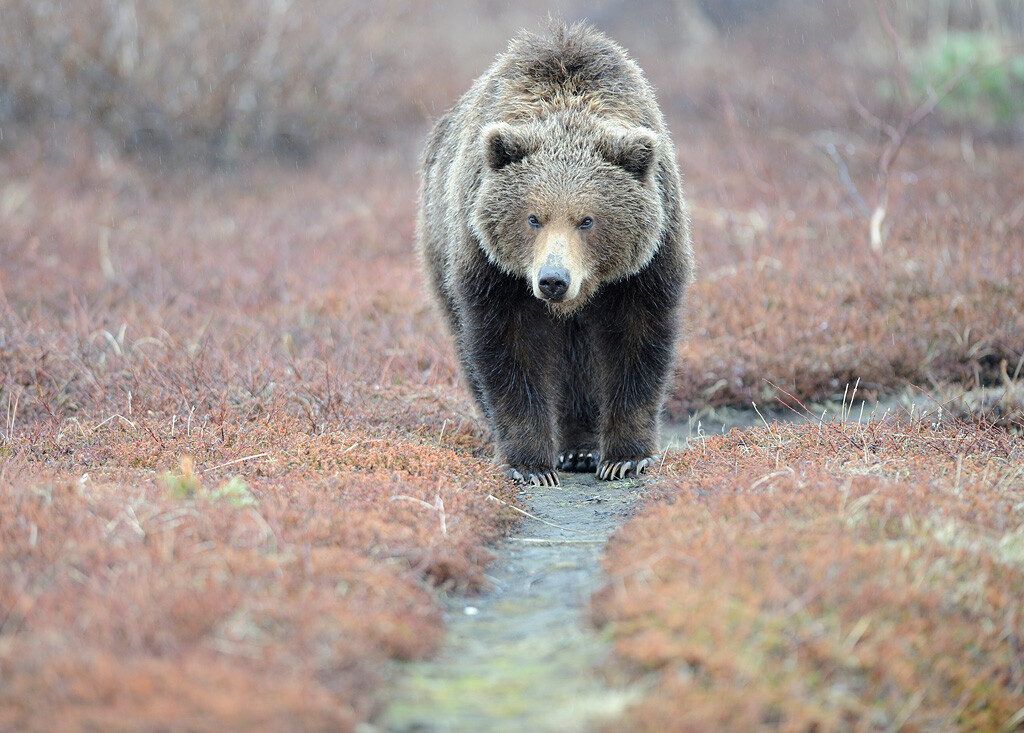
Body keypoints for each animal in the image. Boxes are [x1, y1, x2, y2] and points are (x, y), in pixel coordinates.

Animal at [417, 21, 696, 487]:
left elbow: (637, 344)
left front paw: (625, 457)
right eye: (534, 217)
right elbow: (508, 352)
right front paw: (531, 464)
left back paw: (581, 448)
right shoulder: (493, 270)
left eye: (586, 220)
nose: (552, 280)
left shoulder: (645, 265)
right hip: (439, 245)